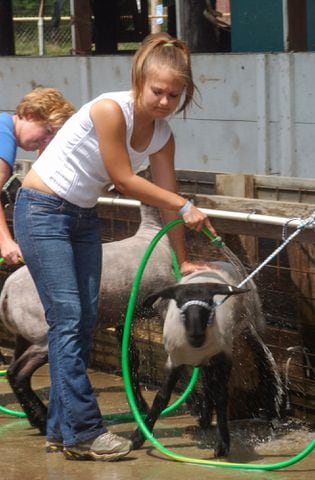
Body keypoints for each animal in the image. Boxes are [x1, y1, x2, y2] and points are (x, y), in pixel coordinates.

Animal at [131, 262, 284, 458]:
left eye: (210, 305)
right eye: (181, 307)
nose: (196, 335)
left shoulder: (223, 357)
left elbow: (221, 396)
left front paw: (223, 444)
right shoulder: (174, 360)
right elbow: (162, 397)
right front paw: (138, 437)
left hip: (240, 330)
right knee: (207, 384)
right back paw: (204, 419)